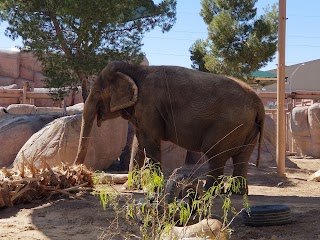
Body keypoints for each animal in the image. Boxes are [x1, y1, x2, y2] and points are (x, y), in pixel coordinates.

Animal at [75, 61, 264, 194]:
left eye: (97, 91)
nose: (78, 173)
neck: (135, 69)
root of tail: (259, 103)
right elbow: (138, 143)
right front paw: (130, 188)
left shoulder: (149, 105)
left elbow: (150, 142)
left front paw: (153, 188)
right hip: (248, 128)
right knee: (242, 157)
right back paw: (236, 193)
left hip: (227, 126)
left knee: (215, 154)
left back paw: (209, 191)